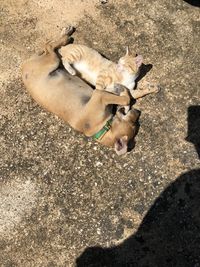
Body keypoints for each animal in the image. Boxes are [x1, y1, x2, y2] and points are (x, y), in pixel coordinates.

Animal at [21, 27, 156, 155]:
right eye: (133, 124)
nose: (137, 111)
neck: (101, 127)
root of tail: (24, 65)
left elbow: (131, 94)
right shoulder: (100, 94)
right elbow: (126, 98)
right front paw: (124, 96)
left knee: (49, 46)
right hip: (54, 60)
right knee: (49, 46)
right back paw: (66, 37)